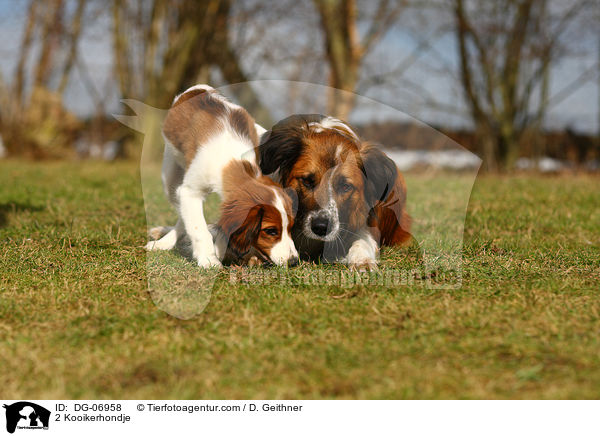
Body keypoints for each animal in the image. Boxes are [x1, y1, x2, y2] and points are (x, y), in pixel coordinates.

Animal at [144, 85, 298, 268]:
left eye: (290, 228)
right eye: (271, 231)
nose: (294, 261)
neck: (234, 160)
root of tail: (198, 88)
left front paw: (219, 249)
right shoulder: (189, 192)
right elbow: (199, 229)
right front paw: (209, 259)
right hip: (170, 179)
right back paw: (164, 243)